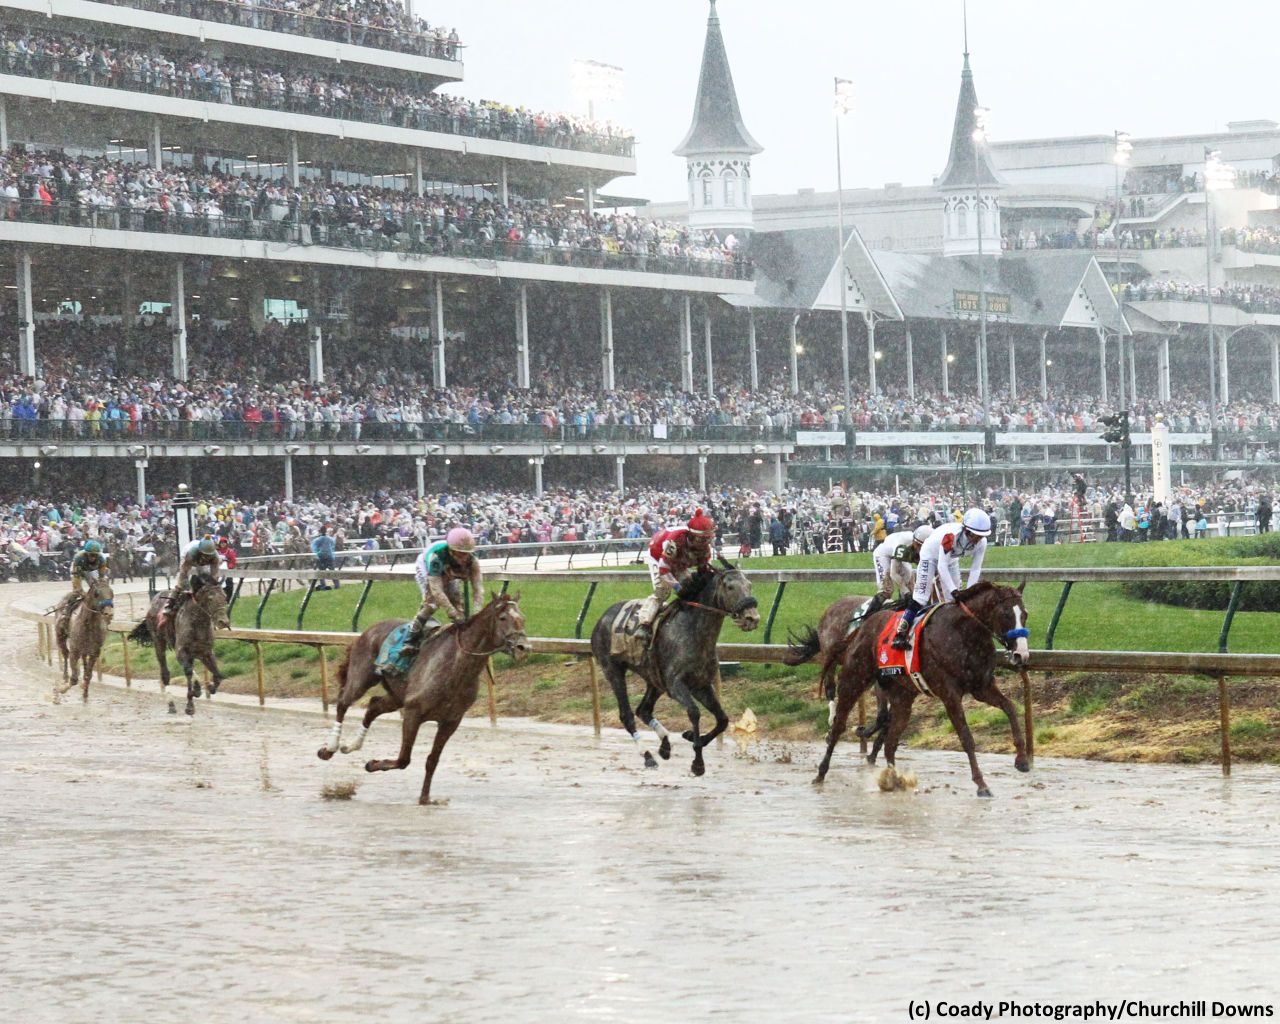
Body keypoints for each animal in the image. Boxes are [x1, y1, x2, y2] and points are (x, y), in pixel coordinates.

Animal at [129, 581, 232, 716]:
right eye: (210, 598)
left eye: (225, 597)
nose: (223, 622)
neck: (197, 624)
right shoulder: (181, 651)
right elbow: (188, 671)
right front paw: (190, 705)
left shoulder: (206, 652)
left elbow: (218, 675)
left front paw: (209, 687)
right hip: (158, 642)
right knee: (165, 673)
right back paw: (171, 703)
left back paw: (197, 688)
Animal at [317, 596, 532, 803]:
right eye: (503, 618)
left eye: (523, 618)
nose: (524, 647)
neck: (456, 666)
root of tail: (369, 629)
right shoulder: (413, 712)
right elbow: (404, 759)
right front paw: (372, 764)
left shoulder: (450, 721)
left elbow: (432, 760)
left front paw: (425, 798)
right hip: (362, 678)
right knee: (343, 704)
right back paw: (330, 748)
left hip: (397, 696)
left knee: (373, 705)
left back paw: (352, 745)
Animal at [591, 560, 757, 778]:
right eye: (730, 587)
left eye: (749, 584)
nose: (752, 618)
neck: (693, 632)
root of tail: (601, 618)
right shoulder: (676, 684)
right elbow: (694, 712)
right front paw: (698, 762)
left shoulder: (701, 684)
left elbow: (723, 719)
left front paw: (692, 737)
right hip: (613, 670)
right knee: (627, 715)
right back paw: (648, 756)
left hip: (654, 679)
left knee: (643, 709)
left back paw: (665, 745)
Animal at [819, 581, 1029, 793]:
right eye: (1006, 614)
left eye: (1025, 614)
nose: (1021, 654)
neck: (964, 632)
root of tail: (863, 625)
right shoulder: (950, 694)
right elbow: (966, 738)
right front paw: (981, 784)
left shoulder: (982, 687)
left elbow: (1010, 707)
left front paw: (1022, 760)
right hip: (854, 679)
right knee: (839, 725)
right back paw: (821, 772)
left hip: (902, 697)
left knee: (890, 742)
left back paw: (894, 780)